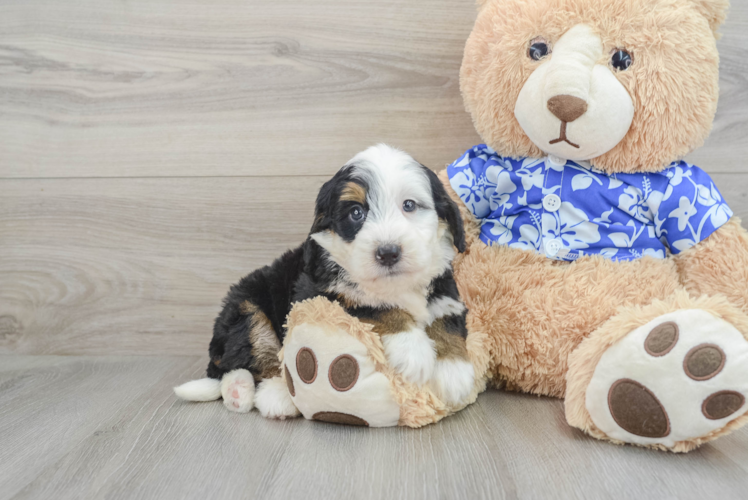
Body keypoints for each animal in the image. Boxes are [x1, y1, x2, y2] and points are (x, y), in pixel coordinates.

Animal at [175, 144, 474, 418]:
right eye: (356, 213)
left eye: (409, 205)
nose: (388, 252)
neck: (394, 284)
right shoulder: (320, 292)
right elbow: (375, 305)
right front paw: (412, 350)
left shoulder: (446, 291)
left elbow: (446, 321)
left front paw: (454, 372)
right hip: (246, 306)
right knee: (250, 357)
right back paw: (261, 393)